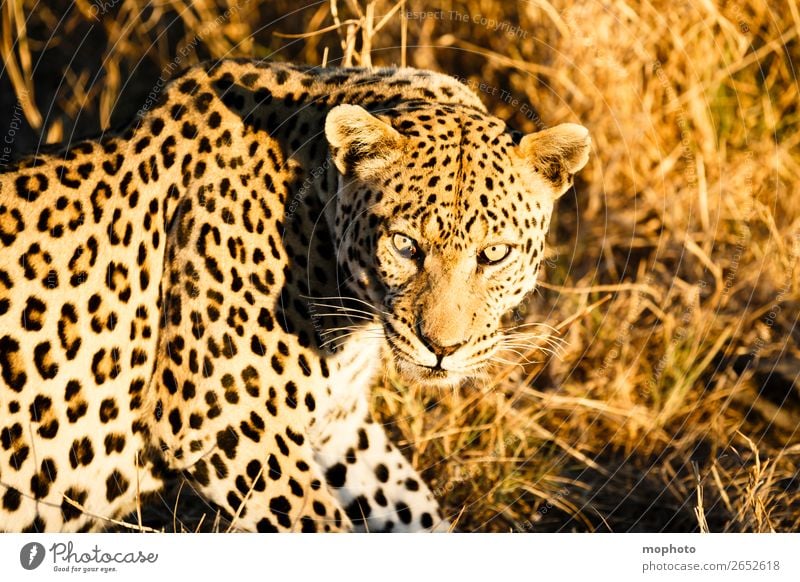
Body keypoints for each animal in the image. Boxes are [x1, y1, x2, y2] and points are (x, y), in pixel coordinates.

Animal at [0, 59, 588, 532]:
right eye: (405, 244)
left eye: (495, 253)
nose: (442, 349)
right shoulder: (225, 417)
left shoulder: (340, 424)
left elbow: (410, 505)